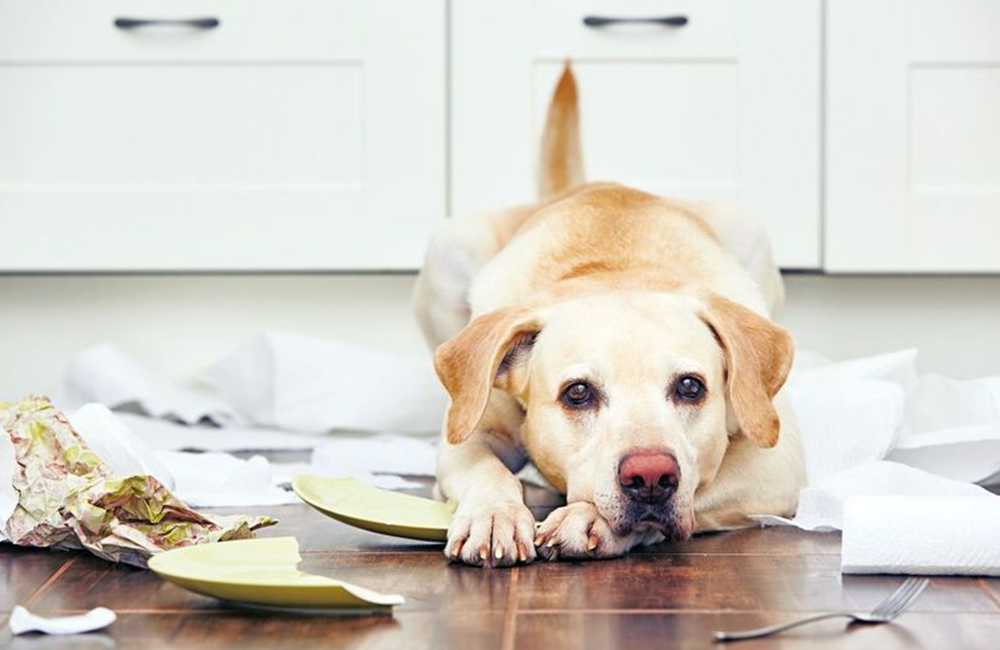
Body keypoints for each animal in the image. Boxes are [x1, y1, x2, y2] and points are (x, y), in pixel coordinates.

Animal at [414, 63, 804, 564]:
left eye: (691, 387)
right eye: (577, 393)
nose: (651, 476)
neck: (614, 268)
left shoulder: (778, 459)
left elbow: (703, 482)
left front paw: (587, 519)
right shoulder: (469, 434)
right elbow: (486, 468)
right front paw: (493, 512)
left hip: (749, 230)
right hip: (448, 244)